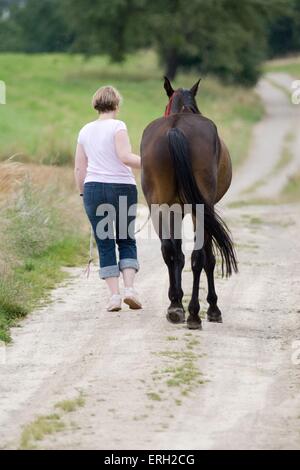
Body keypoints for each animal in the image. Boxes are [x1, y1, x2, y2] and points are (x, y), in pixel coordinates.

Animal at [140, 77, 237, 328]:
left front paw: (176, 302)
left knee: (169, 250)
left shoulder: (174, 210)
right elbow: (208, 257)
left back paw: (176, 307)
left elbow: (177, 253)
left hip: (159, 207)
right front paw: (213, 308)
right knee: (198, 256)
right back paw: (194, 313)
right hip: (199, 210)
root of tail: (176, 128)